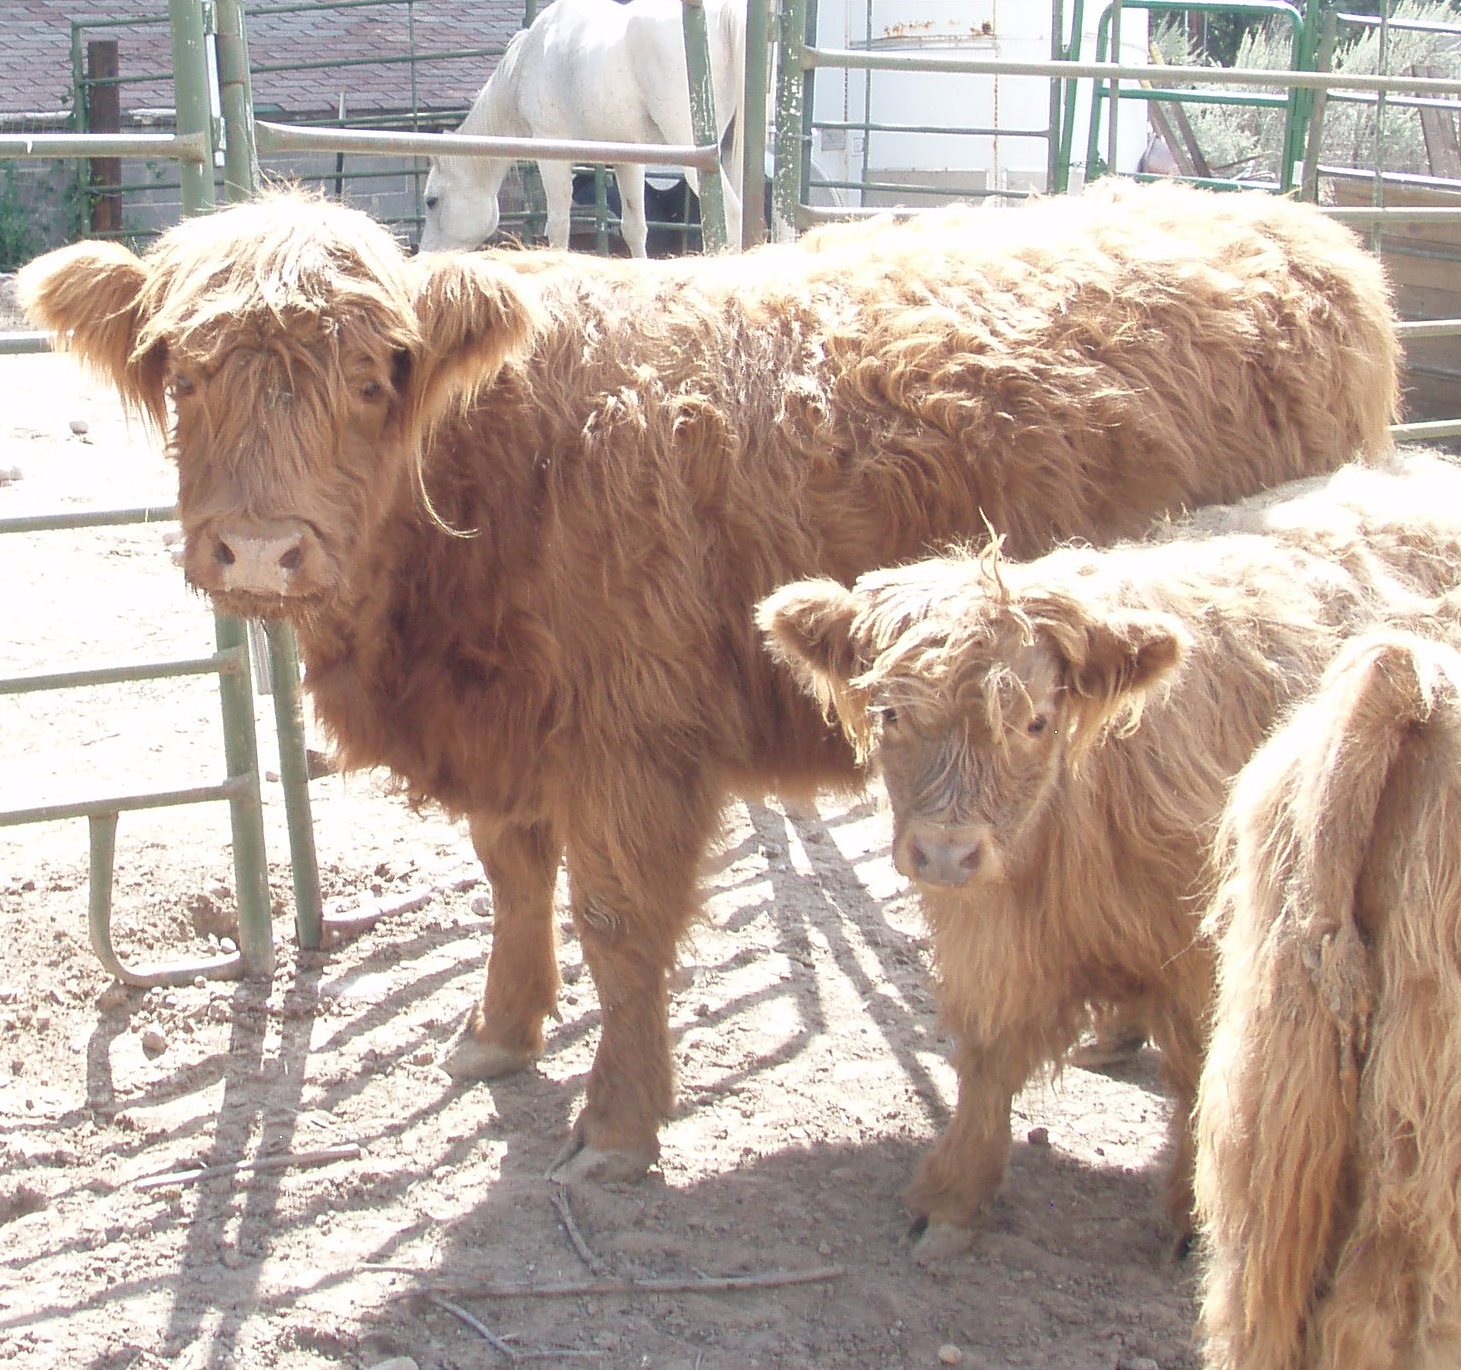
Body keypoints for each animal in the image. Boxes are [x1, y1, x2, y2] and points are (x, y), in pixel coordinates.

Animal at [16, 177, 1397, 1189]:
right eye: (184, 372)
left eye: (371, 376)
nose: (258, 548)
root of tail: (1299, 230)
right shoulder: (507, 735)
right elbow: (514, 881)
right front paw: (497, 1035)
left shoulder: (635, 744)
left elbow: (621, 926)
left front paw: (617, 1129)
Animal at [757, 453, 1461, 1260]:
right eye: (890, 712)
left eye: (1035, 721)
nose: (944, 852)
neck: (1058, 850)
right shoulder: (990, 940)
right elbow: (987, 1061)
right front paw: (953, 1198)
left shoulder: (1198, 956)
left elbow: (1196, 1079)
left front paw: (1189, 1217)